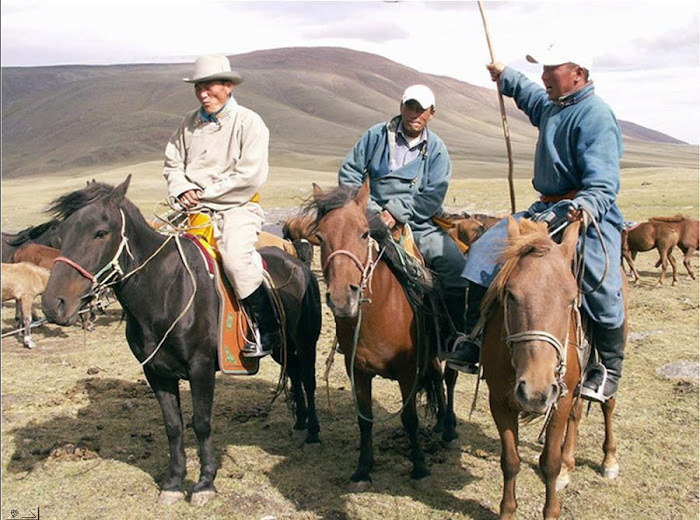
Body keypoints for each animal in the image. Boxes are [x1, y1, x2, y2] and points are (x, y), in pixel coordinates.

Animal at [45, 178, 324, 504]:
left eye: (100, 232)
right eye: (61, 234)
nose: (54, 304)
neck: (165, 289)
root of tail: (298, 264)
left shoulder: (200, 368)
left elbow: (201, 423)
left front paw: (205, 483)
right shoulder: (156, 372)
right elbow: (173, 426)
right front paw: (174, 482)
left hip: (306, 342)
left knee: (308, 380)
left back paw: (313, 433)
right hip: (283, 347)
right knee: (294, 373)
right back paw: (300, 422)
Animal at [308, 181, 456, 490]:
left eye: (364, 233)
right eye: (320, 236)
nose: (342, 299)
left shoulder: (408, 372)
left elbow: (410, 418)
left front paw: (420, 468)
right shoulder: (358, 372)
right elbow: (365, 419)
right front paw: (363, 469)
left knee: (447, 378)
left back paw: (449, 429)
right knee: (437, 378)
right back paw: (439, 425)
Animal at [482, 216, 624, 520]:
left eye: (571, 299)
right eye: (510, 295)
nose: (535, 391)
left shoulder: (559, 401)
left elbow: (550, 463)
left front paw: (551, 510)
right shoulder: (499, 402)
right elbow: (510, 461)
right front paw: (507, 511)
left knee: (608, 404)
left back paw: (608, 460)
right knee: (577, 414)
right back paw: (570, 464)